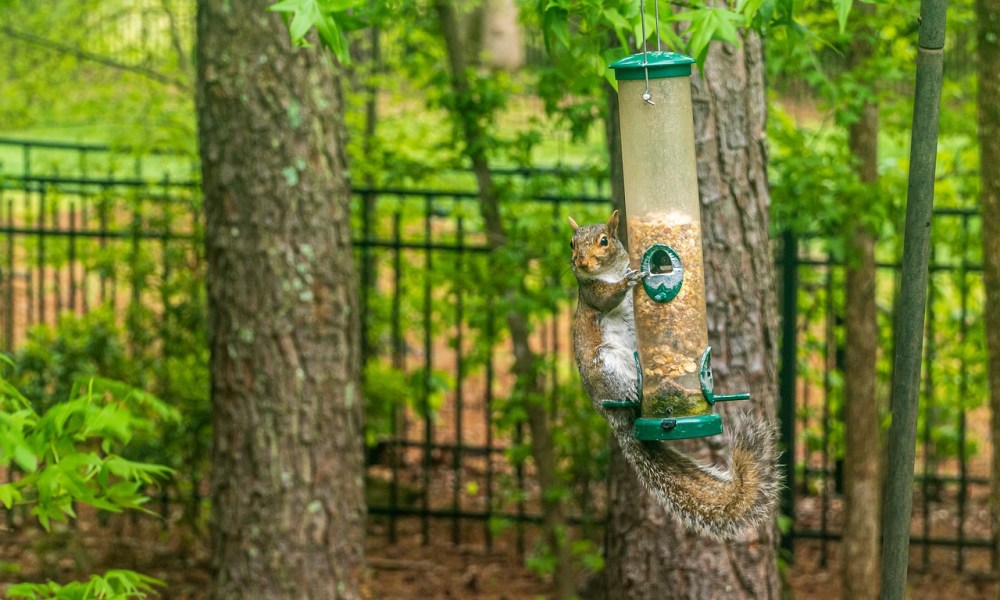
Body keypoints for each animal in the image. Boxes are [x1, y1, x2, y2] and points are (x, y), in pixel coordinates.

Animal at [572, 210, 780, 540]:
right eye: (571, 243)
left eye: (604, 240)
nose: (580, 262)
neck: (607, 272)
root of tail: (612, 417)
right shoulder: (592, 293)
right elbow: (606, 298)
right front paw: (629, 281)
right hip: (604, 365)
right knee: (619, 391)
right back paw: (629, 392)